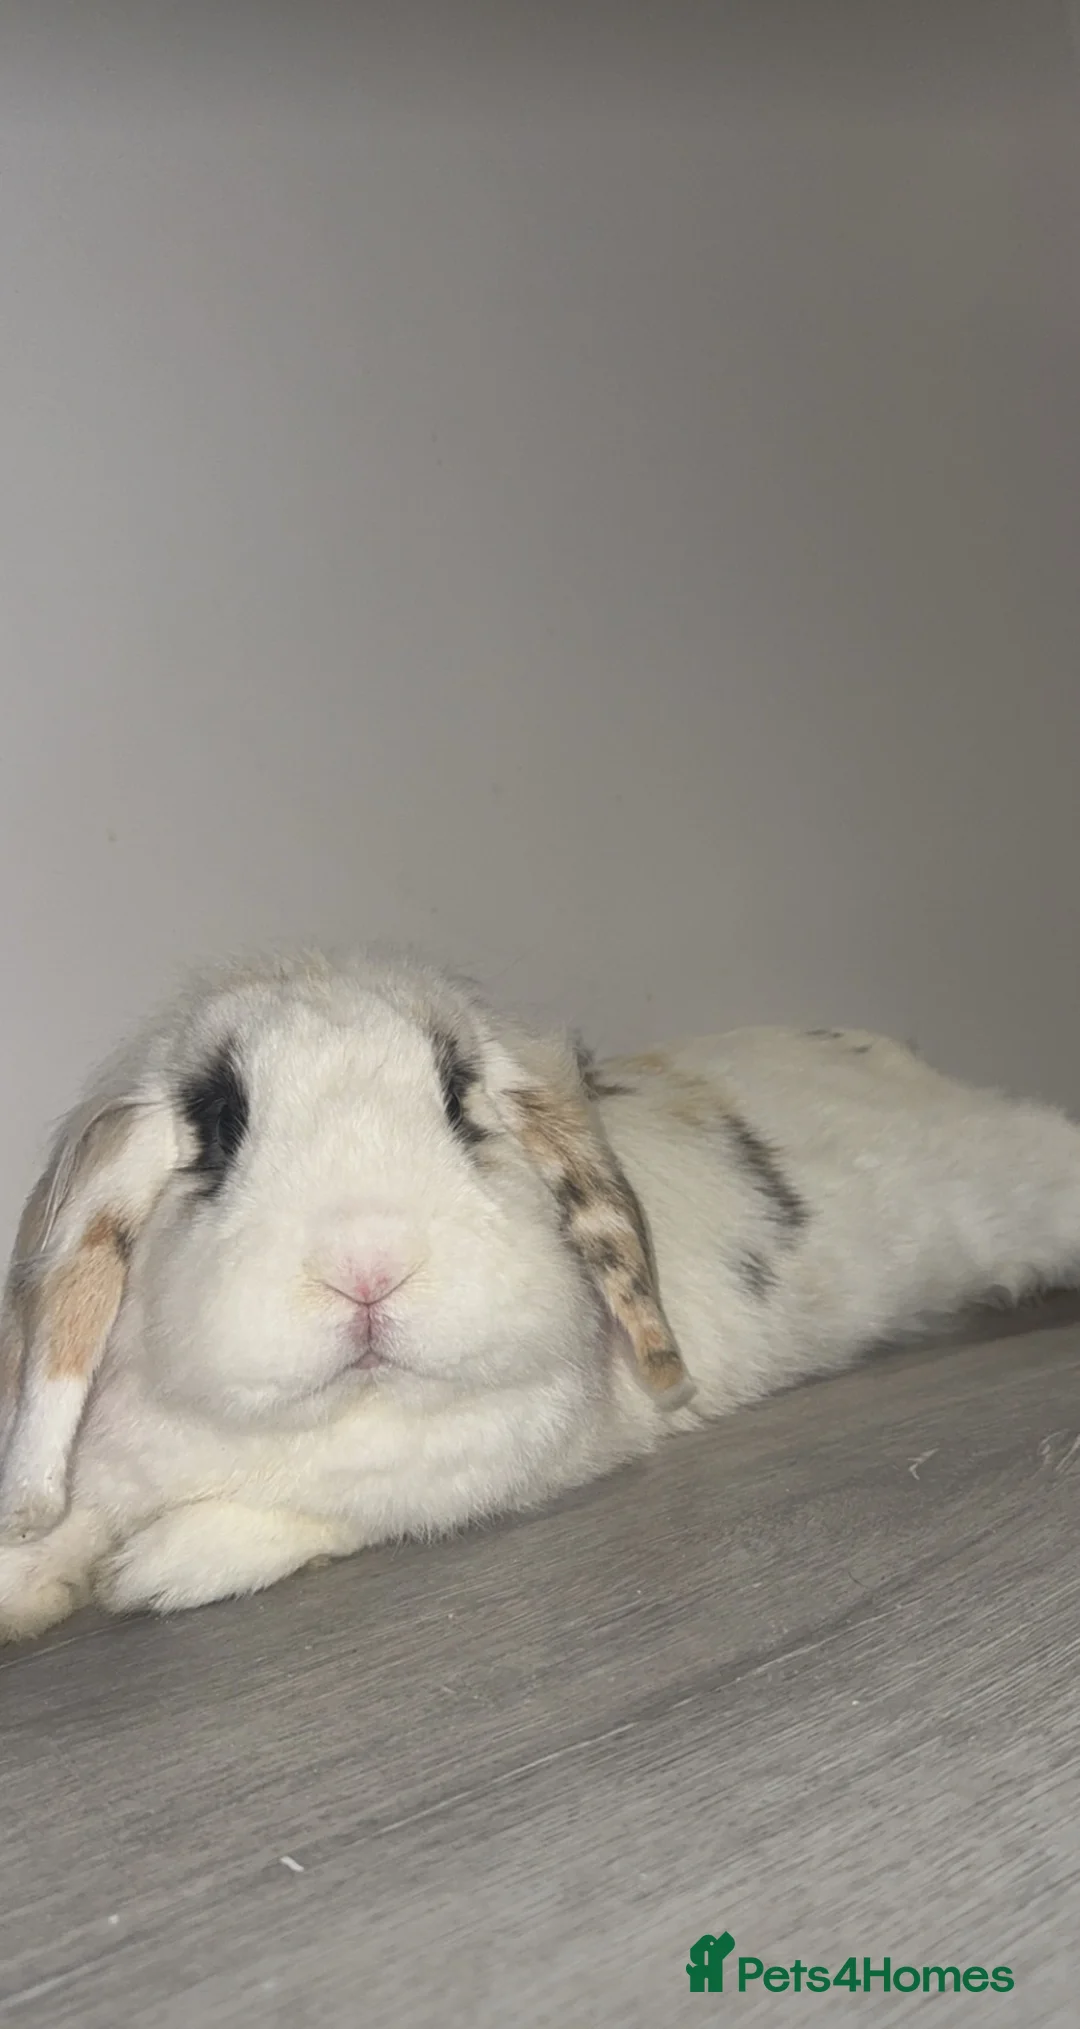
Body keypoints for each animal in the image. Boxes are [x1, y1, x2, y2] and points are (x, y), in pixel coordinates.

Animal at [2, 947, 1080, 1643]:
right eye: (221, 1124)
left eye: (459, 1103)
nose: (368, 1263)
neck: (345, 1407)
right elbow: (70, 1517)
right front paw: (32, 1582)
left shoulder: (483, 1468)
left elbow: (320, 1511)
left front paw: (154, 1571)